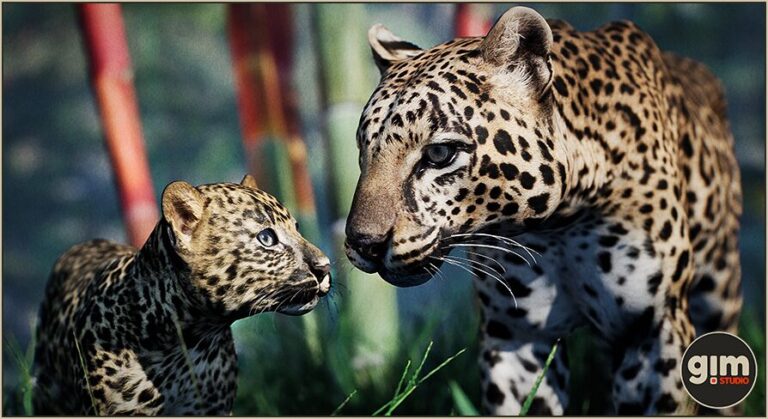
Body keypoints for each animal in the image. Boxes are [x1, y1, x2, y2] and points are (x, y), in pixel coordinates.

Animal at [32, 175, 332, 415]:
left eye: (297, 228)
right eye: (267, 238)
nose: (325, 266)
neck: (185, 342)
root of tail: (82, 244)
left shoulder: (212, 409)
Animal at [345, 6, 742, 415]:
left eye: (440, 154)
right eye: (363, 150)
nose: (364, 244)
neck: (561, 223)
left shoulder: (652, 332)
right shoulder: (516, 336)